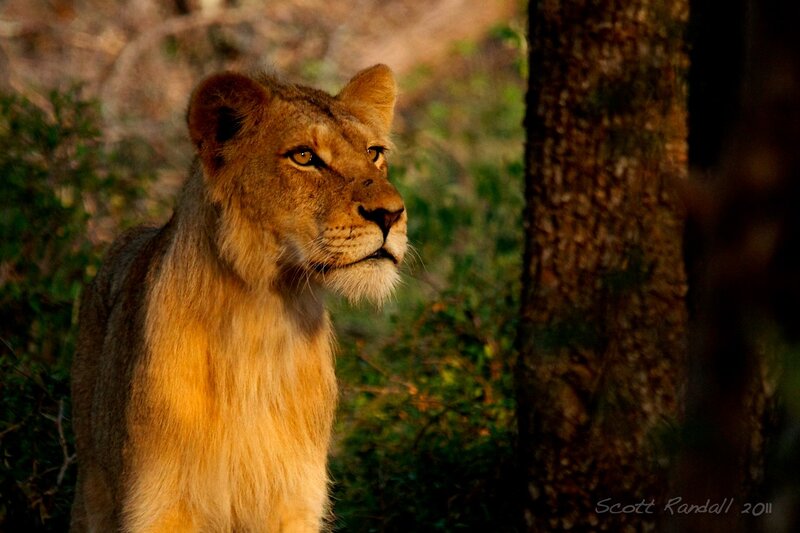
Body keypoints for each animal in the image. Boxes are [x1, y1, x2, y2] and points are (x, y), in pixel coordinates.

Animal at [70, 64, 406, 532]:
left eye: (374, 152)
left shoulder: (294, 501)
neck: (263, 317)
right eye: (304, 157)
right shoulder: (161, 504)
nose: (392, 214)